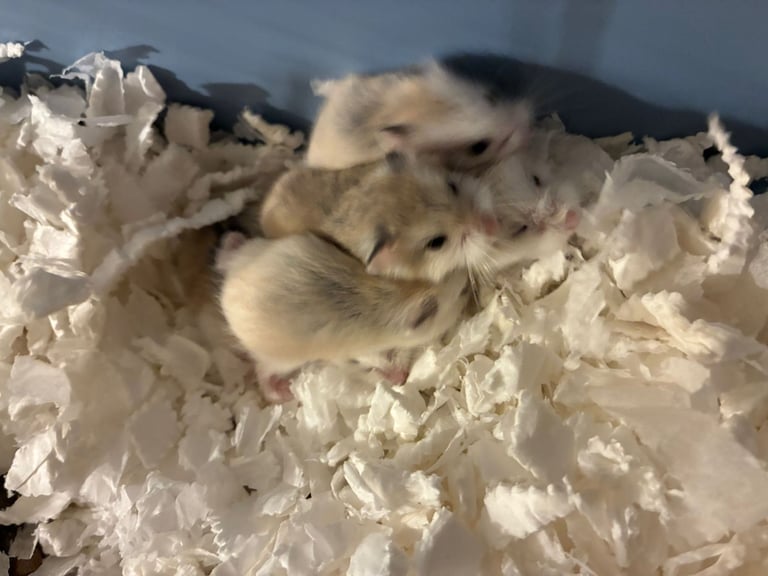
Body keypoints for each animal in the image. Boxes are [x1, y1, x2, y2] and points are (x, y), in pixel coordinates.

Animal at [217, 232, 469, 403]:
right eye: (431, 310)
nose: (464, 278)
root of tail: (225, 292)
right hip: (278, 360)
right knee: (262, 373)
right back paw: (283, 392)